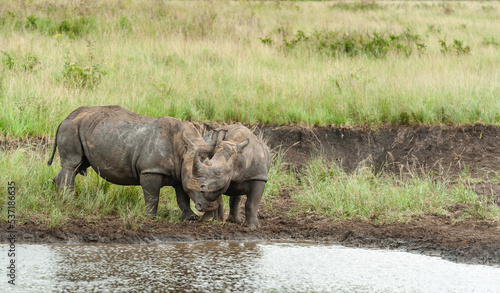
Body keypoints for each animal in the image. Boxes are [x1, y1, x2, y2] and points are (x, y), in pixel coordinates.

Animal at [48, 106, 221, 218]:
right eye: (196, 181)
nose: (210, 207)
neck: (184, 150)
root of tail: (65, 118)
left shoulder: (181, 170)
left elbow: (182, 197)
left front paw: (191, 217)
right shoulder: (151, 170)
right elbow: (152, 196)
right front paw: (150, 217)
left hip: (84, 128)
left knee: (78, 165)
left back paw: (59, 195)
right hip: (72, 127)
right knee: (73, 164)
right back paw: (70, 201)